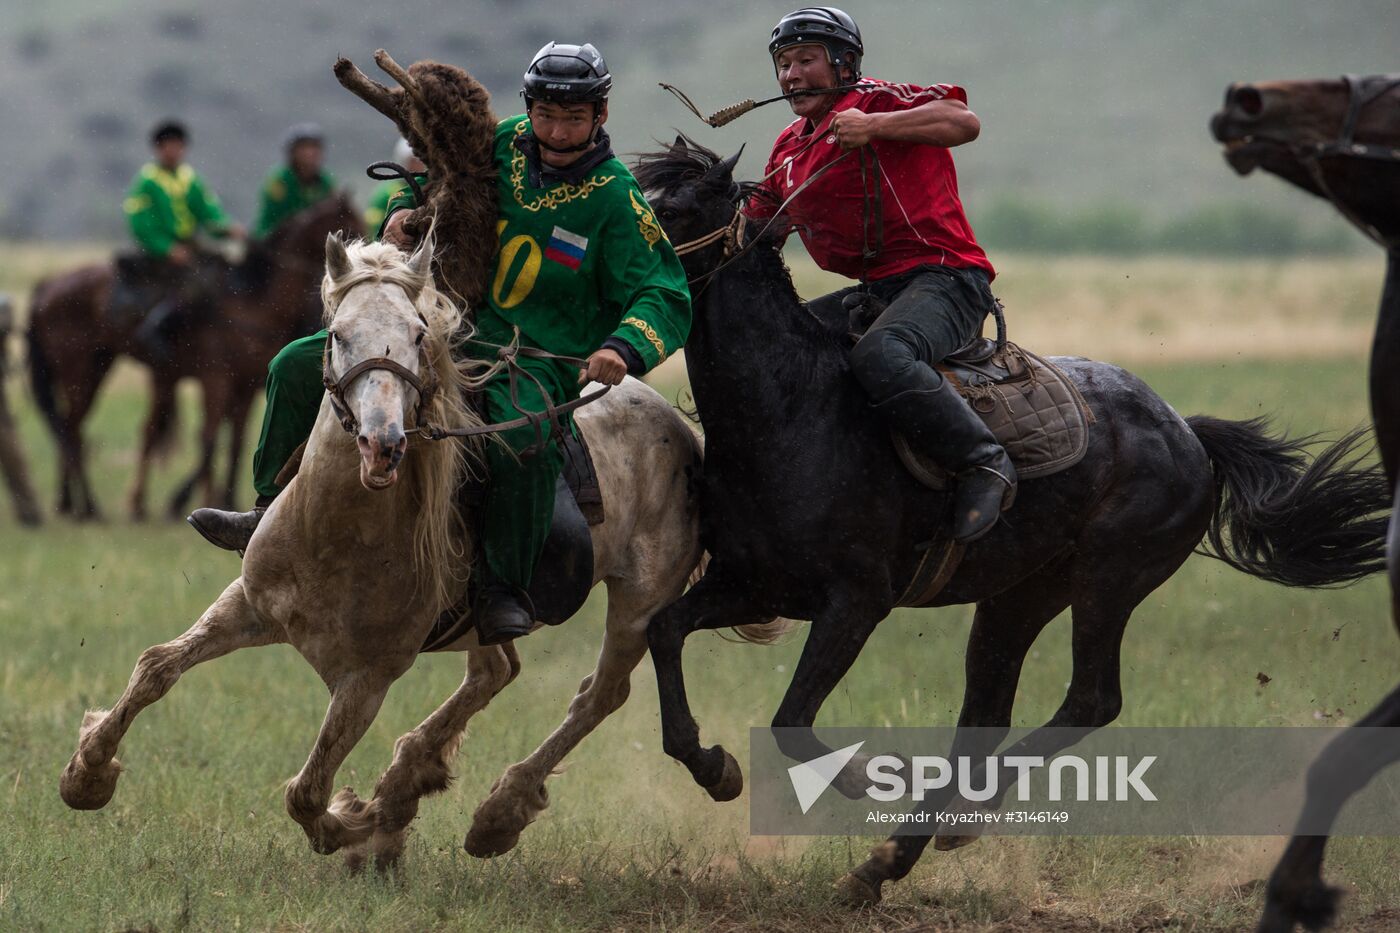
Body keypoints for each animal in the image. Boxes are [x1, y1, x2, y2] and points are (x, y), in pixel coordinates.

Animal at [30, 193, 366, 518]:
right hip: (81, 371)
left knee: (86, 428)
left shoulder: (244, 385)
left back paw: (76, 502)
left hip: (101, 366)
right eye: (351, 224)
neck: (253, 302)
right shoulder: (216, 379)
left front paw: (223, 498)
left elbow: (235, 443)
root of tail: (47, 284)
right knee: (73, 429)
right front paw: (196, 499)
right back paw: (90, 505)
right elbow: (208, 439)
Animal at [60, 236, 784, 868]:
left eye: (416, 334)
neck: (337, 533)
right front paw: (87, 773)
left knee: (598, 694)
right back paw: (412, 777)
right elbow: (157, 667)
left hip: (639, 602)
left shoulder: (368, 678)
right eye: (336, 333)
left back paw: (495, 811)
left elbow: (308, 789)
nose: (383, 443)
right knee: (497, 670)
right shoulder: (250, 606)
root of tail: (677, 426)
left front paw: (356, 824)